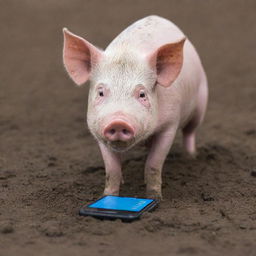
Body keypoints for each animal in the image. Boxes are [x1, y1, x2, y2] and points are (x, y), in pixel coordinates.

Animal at [62, 15, 208, 200]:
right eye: (101, 92)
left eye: (142, 94)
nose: (118, 122)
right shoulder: (97, 131)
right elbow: (112, 170)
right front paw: (107, 196)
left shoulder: (170, 124)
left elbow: (153, 164)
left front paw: (155, 198)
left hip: (200, 104)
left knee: (190, 132)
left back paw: (191, 158)